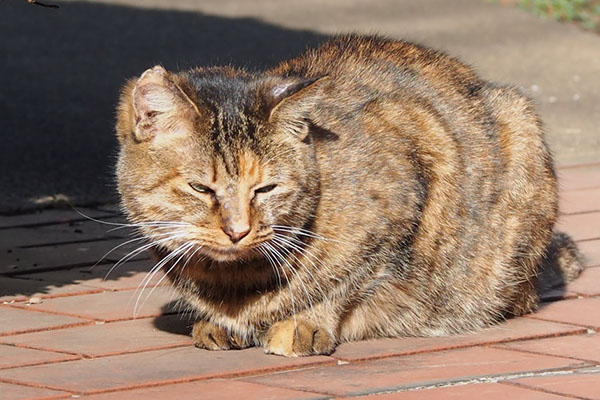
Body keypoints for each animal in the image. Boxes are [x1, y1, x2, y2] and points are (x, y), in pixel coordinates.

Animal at [115, 34, 584, 358]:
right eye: (201, 188)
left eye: (266, 188)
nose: (238, 231)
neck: (233, 282)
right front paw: (216, 322)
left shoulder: (411, 166)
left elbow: (347, 281)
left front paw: (304, 323)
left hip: (519, 122)